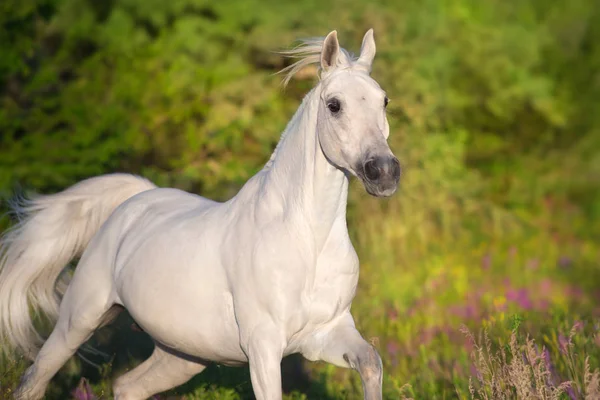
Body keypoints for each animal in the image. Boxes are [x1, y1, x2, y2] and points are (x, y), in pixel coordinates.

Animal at [2, 29, 400, 398]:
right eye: (334, 105)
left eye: (383, 100)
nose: (383, 171)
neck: (307, 240)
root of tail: (136, 200)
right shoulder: (264, 347)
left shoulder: (327, 332)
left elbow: (371, 363)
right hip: (79, 318)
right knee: (34, 380)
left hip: (182, 355)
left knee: (127, 386)